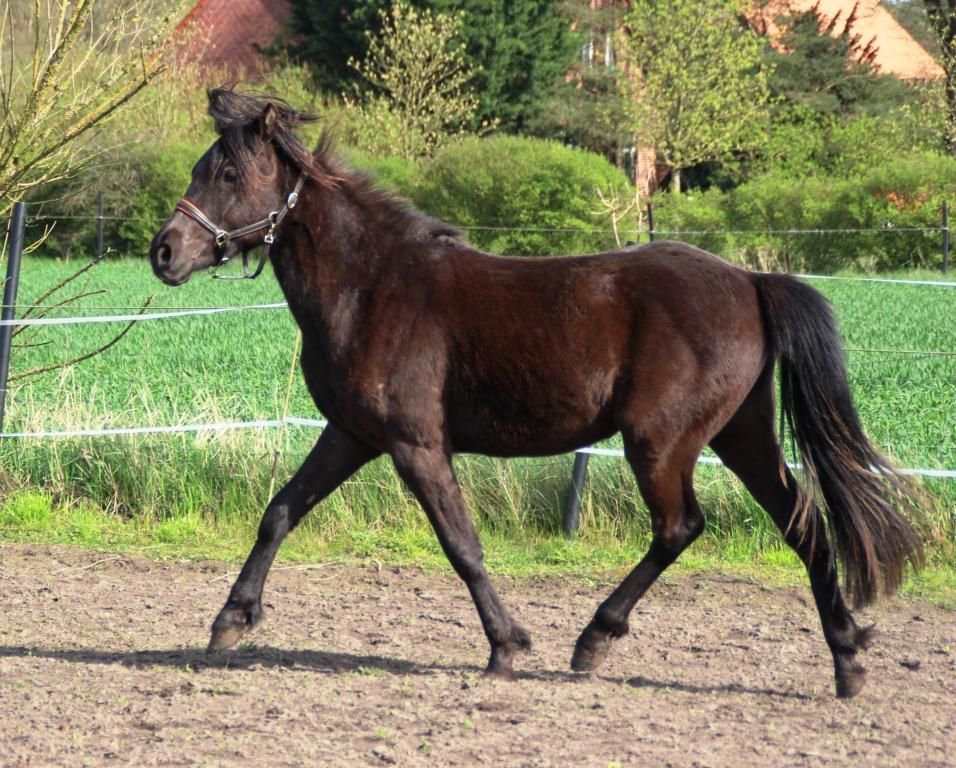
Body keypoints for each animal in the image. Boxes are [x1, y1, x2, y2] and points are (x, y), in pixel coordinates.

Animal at [151, 88, 928, 696]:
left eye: (227, 171)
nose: (164, 253)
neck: (372, 286)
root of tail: (749, 281)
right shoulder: (352, 435)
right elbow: (280, 511)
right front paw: (230, 621)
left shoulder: (415, 444)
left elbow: (462, 544)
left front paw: (508, 646)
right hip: (742, 435)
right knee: (801, 521)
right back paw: (847, 660)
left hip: (662, 442)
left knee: (681, 527)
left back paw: (595, 639)